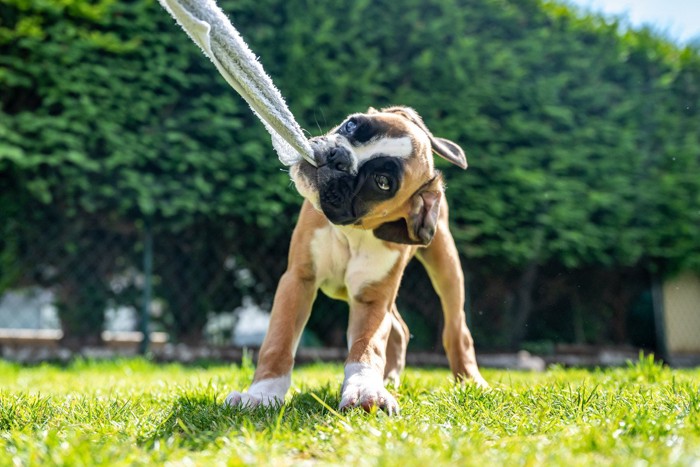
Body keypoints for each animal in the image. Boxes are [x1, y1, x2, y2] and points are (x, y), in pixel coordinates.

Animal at [226, 107, 486, 416]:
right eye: (352, 125)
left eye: (382, 182)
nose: (337, 157)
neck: (351, 232)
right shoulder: (298, 280)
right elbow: (279, 341)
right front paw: (263, 394)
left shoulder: (372, 299)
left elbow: (367, 346)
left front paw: (365, 388)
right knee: (400, 327)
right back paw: (391, 376)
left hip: (445, 265)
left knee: (456, 329)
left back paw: (469, 380)